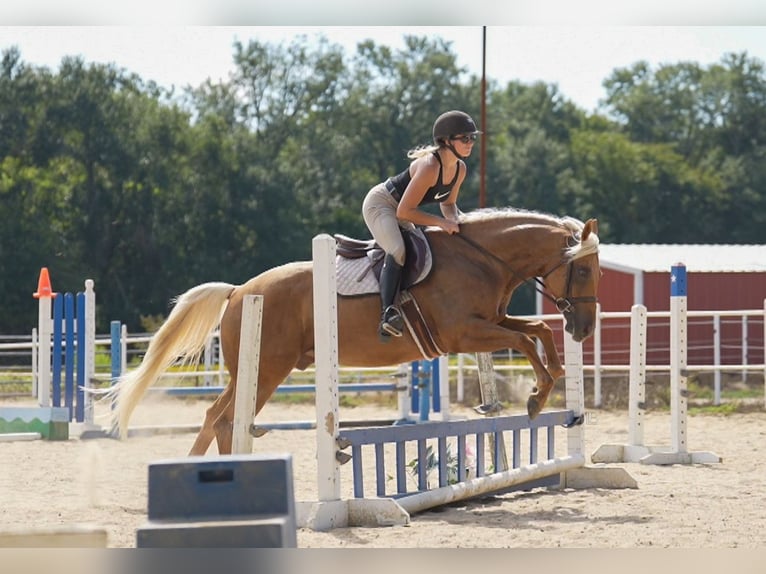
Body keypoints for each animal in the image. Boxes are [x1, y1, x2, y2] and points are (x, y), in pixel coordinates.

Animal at [105, 208, 600, 455]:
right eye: (584, 270)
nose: (584, 328)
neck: (481, 258)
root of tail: (239, 290)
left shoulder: (490, 323)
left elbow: (537, 330)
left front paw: (553, 380)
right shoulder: (464, 334)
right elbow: (524, 338)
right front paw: (537, 397)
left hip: (257, 372)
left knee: (216, 417)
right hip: (266, 371)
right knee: (227, 420)